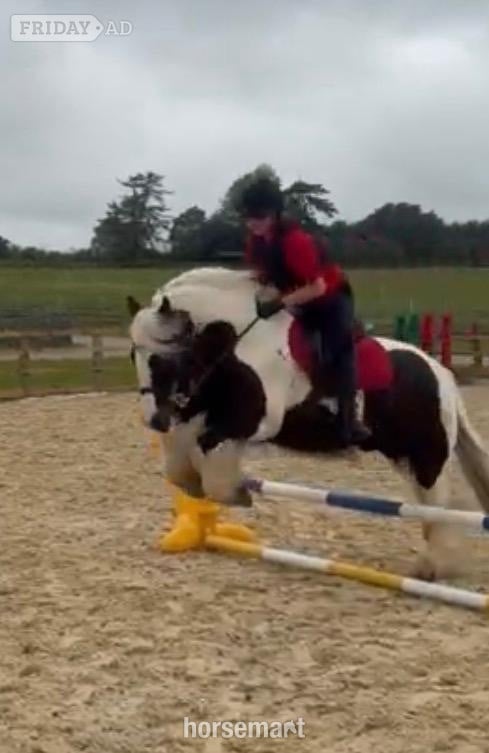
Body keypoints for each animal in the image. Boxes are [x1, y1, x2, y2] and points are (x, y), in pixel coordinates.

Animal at [127, 266, 489, 581]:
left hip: (428, 456)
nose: (153, 419)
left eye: (161, 360)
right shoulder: (198, 406)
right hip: (403, 455)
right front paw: (198, 488)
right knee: (428, 507)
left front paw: (236, 493)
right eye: (134, 355)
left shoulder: (256, 420)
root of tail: (442, 375)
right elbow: (181, 459)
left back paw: (433, 568)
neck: (241, 341)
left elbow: (208, 449)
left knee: (439, 507)